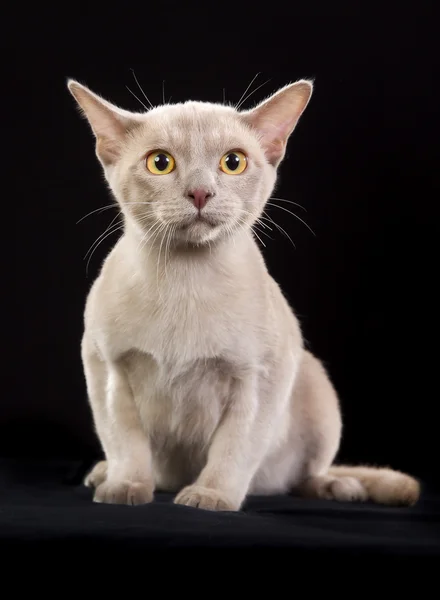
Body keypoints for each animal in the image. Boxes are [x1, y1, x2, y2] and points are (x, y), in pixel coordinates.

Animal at [68, 76, 420, 510]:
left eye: (232, 162)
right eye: (160, 163)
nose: (200, 193)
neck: (186, 281)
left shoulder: (260, 377)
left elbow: (234, 447)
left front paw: (210, 495)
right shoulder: (108, 370)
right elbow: (125, 442)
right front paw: (126, 488)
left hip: (317, 384)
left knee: (305, 474)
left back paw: (338, 488)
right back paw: (104, 473)